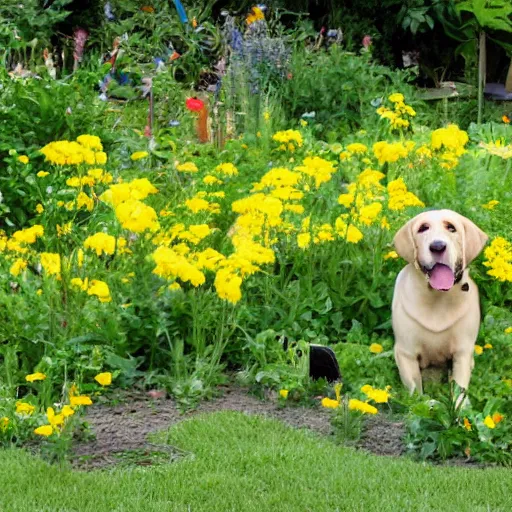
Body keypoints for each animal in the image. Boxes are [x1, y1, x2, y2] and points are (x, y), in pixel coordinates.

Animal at [392, 210, 488, 394]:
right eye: (423, 228)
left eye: (451, 227)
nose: (437, 246)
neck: (438, 297)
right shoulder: (406, 352)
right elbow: (416, 392)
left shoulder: (462, 352)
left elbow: (459, 388)